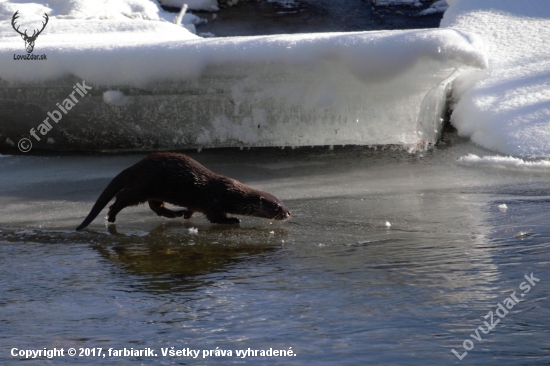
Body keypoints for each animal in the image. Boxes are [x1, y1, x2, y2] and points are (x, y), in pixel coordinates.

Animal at [78, 152, 294, 229]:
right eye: (276, 207)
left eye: (283, 202)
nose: (288, 212)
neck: (230, 192)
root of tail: (136, 166)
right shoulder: (212, 201)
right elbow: (215, 217)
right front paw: (233, 219)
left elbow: (194, 209)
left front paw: (188, 214)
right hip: (143, 185)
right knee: (122, 198)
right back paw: (112, 216)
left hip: (155, 189)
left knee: (155, 206)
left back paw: (176, 213)